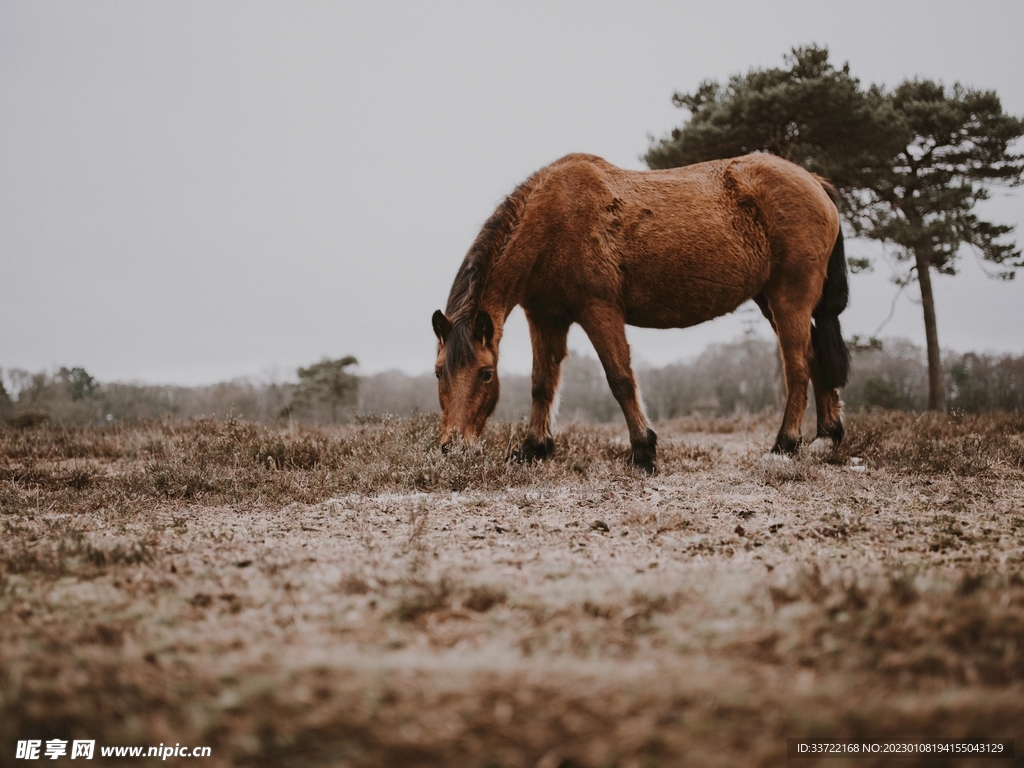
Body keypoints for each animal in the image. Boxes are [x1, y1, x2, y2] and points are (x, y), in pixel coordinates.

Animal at [432, 152, 849, 473]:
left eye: (486, 374)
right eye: (439, 373)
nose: (454, 447)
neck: (553, 220)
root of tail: (814, 182)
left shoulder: (599, 310)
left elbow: (620, 379)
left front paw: (643, 450)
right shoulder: (546, 318)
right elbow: (542, 383)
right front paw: (534, 448)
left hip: (789, 296)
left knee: (797, 367)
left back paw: (785, 444)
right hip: (772, 301)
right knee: (814, 357)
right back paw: (828, 434)